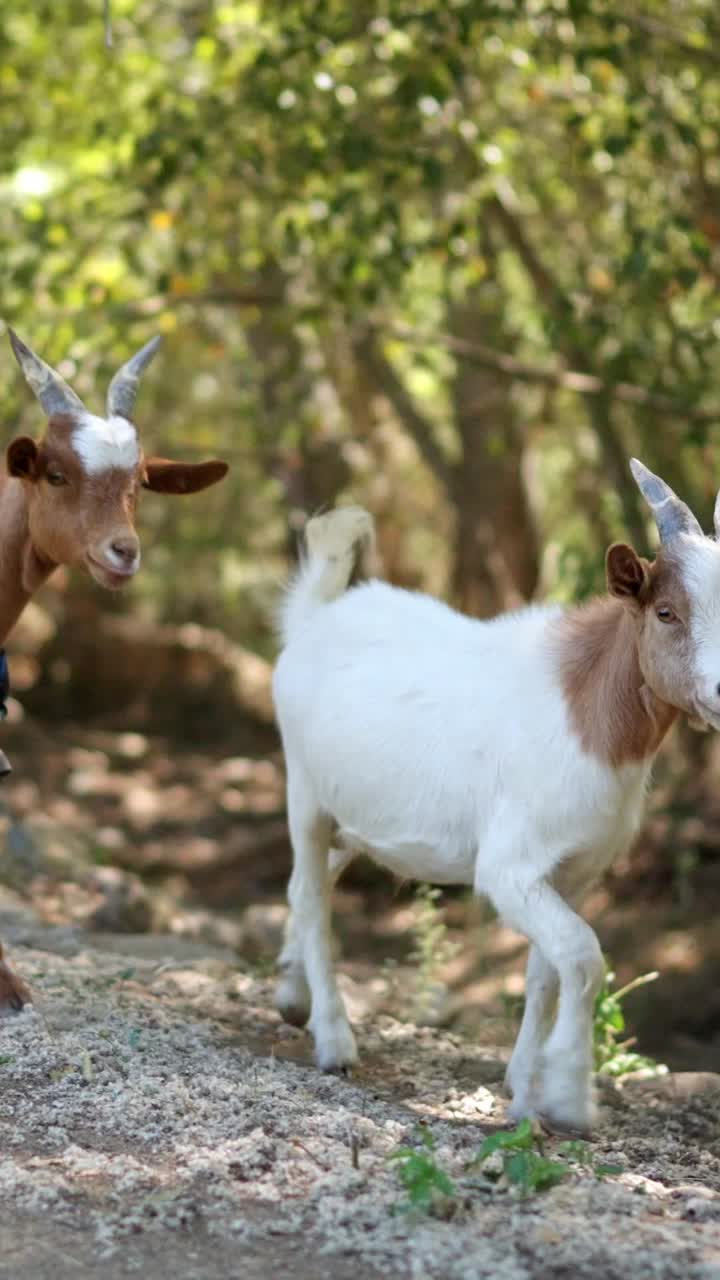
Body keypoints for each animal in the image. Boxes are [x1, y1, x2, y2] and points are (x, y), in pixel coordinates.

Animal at [272, 465, 720, 1134]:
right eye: (666, 612)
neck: (585, 713)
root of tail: (314, 616)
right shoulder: (510, 866)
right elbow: (583, 957)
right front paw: (567, 1096)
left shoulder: (576, 870)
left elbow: (545, 974)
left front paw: (525, 1091)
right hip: (304, 789)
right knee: (308, 893)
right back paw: (334, 1041)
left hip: (353, 816)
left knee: (315, 881)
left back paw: (289, 993)